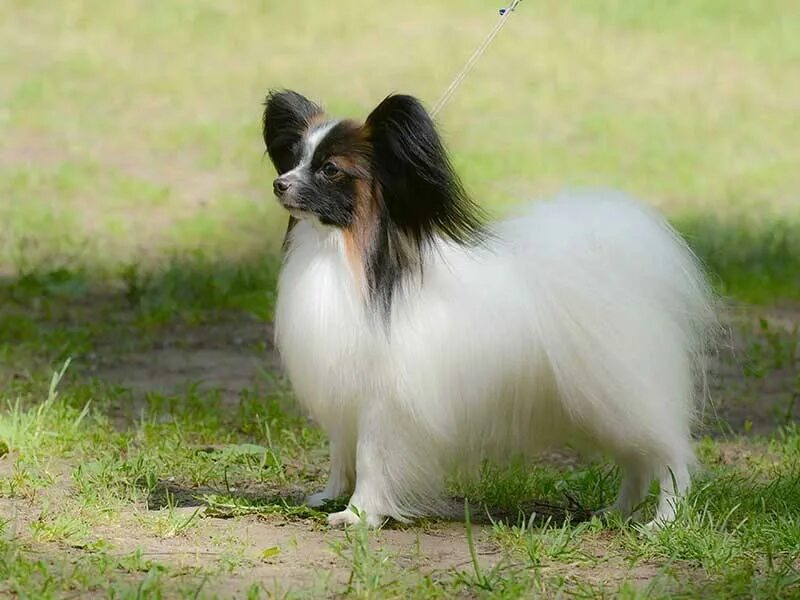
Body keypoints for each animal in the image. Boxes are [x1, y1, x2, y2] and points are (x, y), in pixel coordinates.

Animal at [264, 90, 720, 528]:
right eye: (295, 159)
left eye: (329, 170)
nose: (279, 184)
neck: (345, 256)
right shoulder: (345, 393)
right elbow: (342, 454)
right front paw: (330, 496)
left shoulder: (385, 401)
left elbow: (371, 459)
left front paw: (359, 515)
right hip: (600, 403)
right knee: (636, 460)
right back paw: (616, 513)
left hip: (623, 395)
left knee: (670, 458)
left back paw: (663, 522)